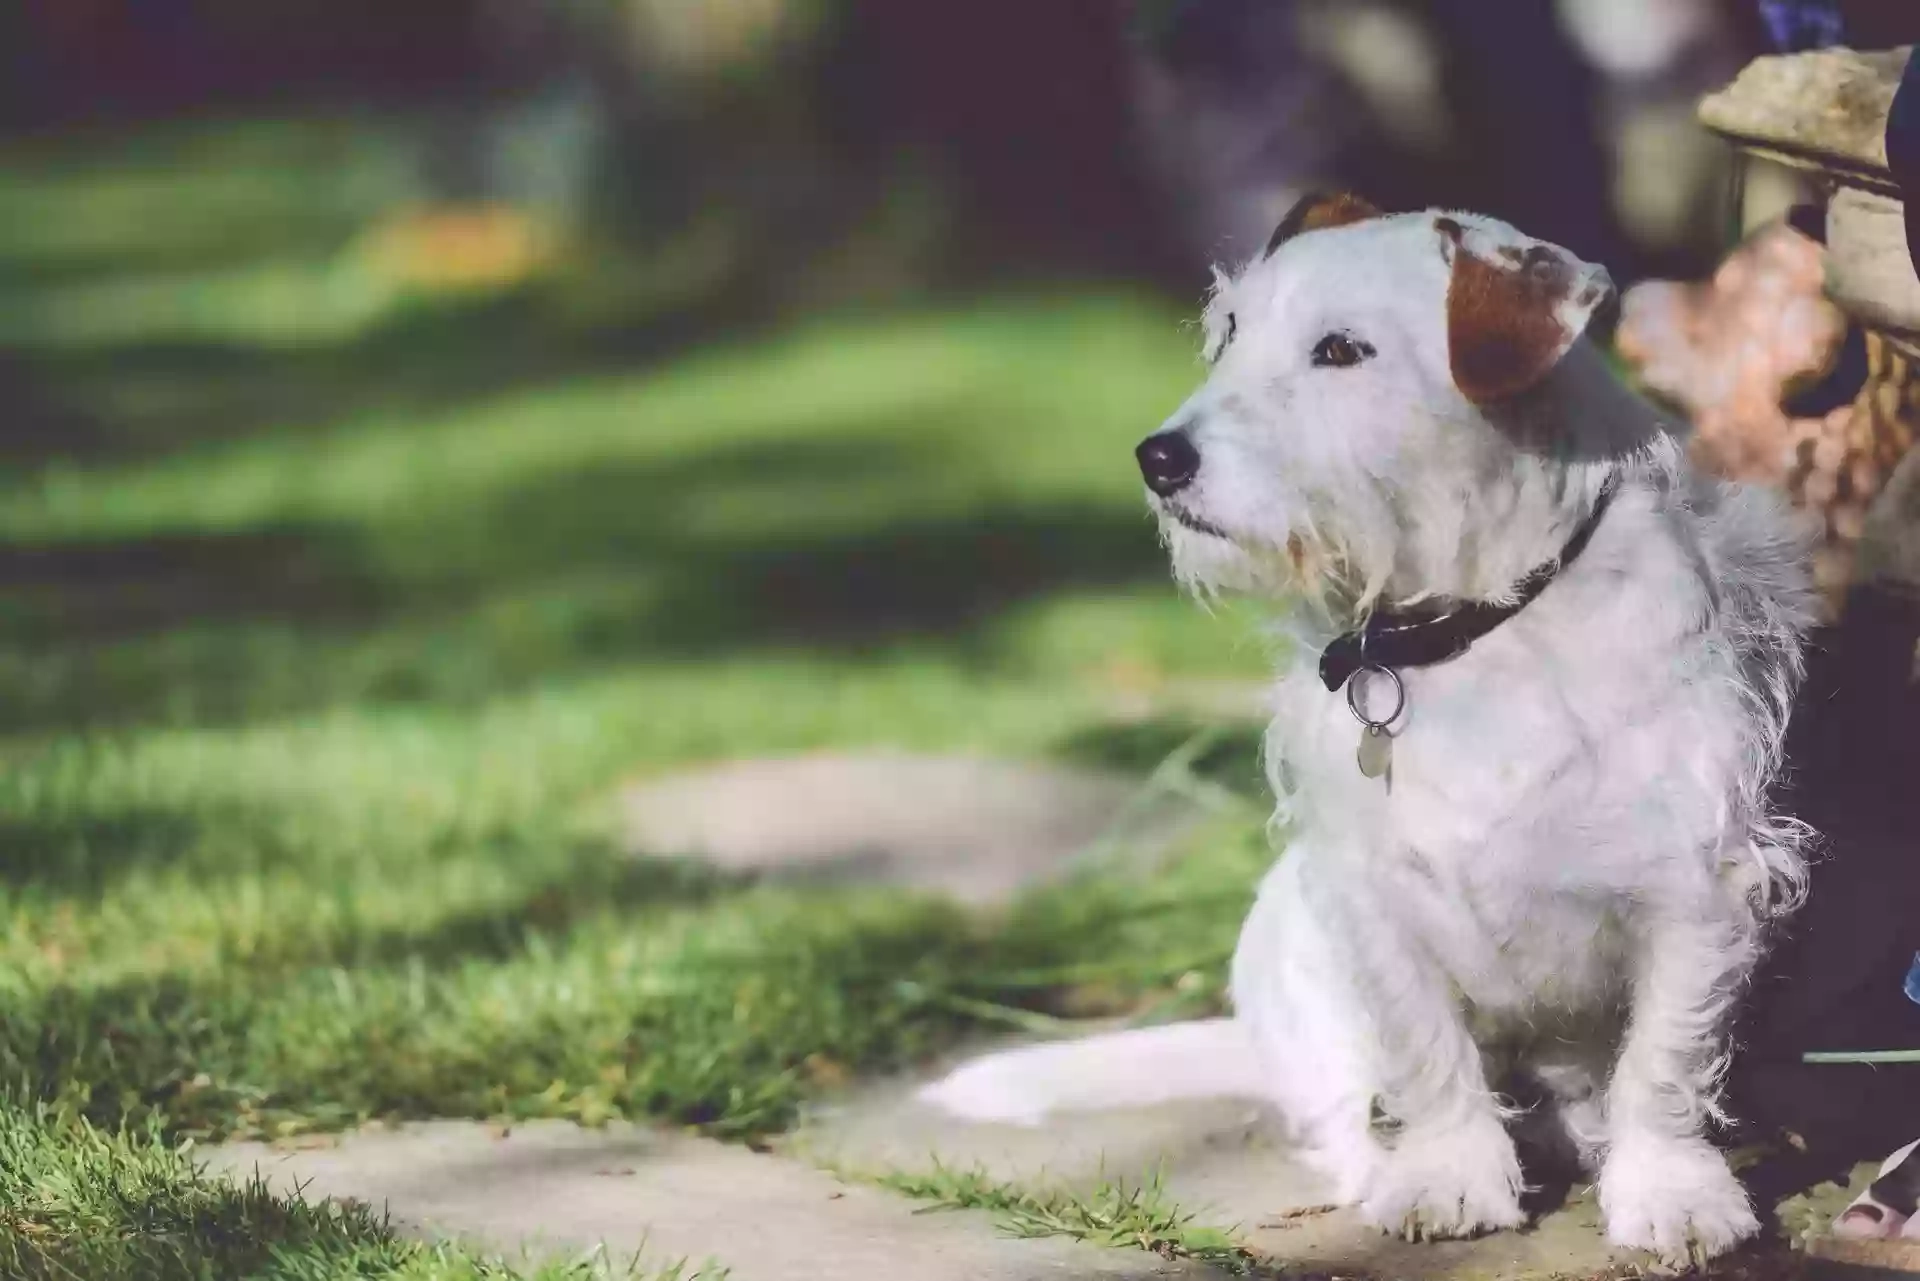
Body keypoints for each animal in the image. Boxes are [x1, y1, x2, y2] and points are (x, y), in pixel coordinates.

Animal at [913, 197, 1812, 1259]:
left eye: (1341, 350)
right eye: (1229, 333)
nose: (1159, 457)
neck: (1473, 632)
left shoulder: (1693, 884)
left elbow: (1665, 1057)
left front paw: (1672, 1189)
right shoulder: (1373, 889)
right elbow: (1423, 1045)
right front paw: (1449, 1174)